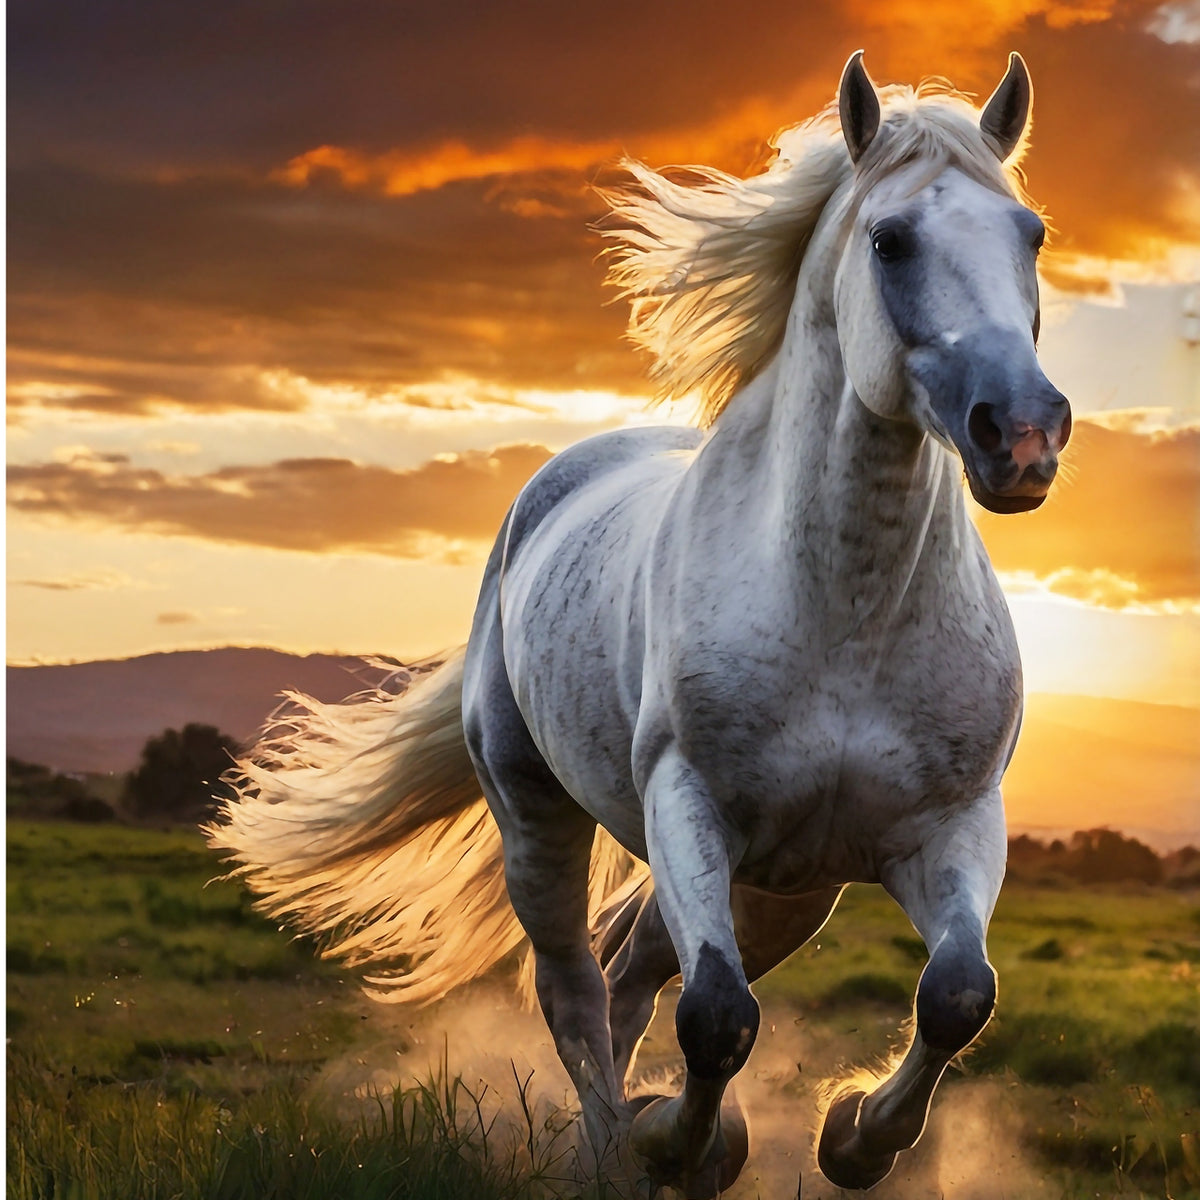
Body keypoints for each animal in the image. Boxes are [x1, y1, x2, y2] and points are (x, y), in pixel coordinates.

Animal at [206, 51, 1070, 1195]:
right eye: (890, 240)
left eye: (1031, 233)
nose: (1021, 435)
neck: (849, 614)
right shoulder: (687, 800)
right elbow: (716, 1018)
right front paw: (684, 1142)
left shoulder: (948, 824)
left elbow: (958, 995)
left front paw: (853, 1139)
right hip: (543, 815)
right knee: (579, 986)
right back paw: (619, 1150)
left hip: (783, 886)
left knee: (629, 970)